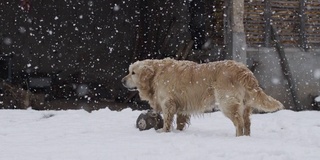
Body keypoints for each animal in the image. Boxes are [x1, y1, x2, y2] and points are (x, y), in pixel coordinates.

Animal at [121, 58, 284, 136]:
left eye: (132, 72)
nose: (122, 81)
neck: (156, 72)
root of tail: (244, 70)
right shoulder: (181, 107)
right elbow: (180, 122)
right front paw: (178, 132)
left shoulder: (168, 103)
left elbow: (167, 121)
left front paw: (163, 132)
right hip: (245, 105)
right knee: (247, 123)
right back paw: (246, 138)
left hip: (227, 103)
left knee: (239, 123)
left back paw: (238, 138)